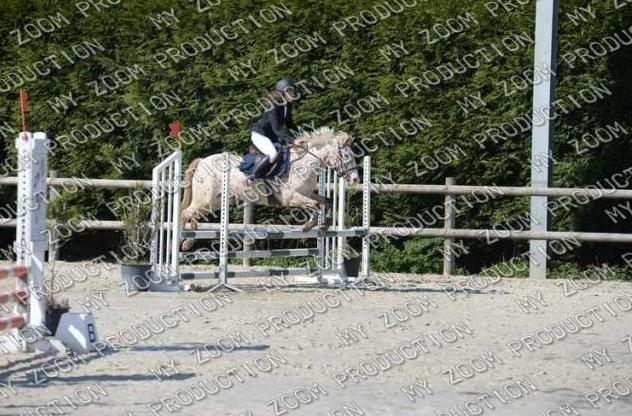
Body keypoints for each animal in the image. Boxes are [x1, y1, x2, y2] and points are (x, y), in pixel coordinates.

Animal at [179, 126, 360, 251]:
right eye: (346, 156)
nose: (355, 179)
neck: (304, 164)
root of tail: (203, 161)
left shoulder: (307, 194)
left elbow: (327, 201)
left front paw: (324, 227)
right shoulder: (291, 197)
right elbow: (315, 206)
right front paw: (308, 227)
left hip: (214, 202)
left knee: (193, 215)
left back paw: (189, 241)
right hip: (205, 199)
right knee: (185, 214)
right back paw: (182, 240)